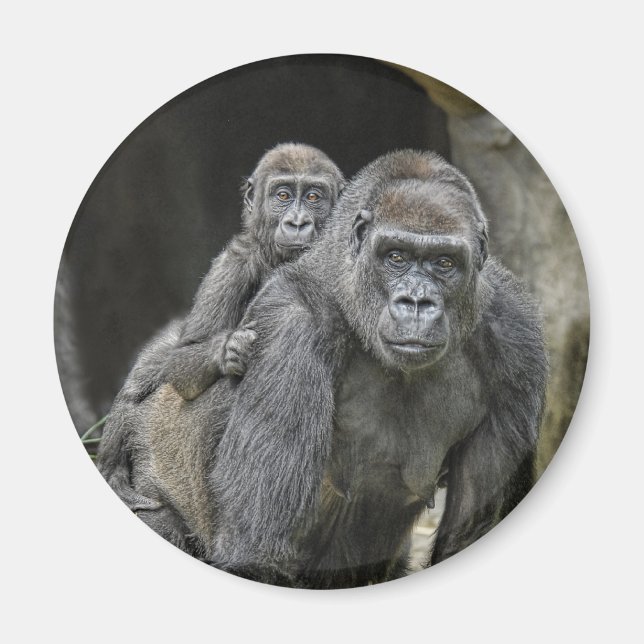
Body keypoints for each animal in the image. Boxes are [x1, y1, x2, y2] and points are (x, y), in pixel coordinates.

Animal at [96, 143, 345, 515]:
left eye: (314, 197)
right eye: (283, 195)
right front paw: (230, 350)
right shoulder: (232, 265)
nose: (298, 222)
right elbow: (181, 359)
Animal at [126, 149, 547, 588]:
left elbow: (474, 530)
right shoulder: (291, 321)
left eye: (445, 263)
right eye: (395, 256)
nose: (416, 303)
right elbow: (258, 548)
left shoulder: (517, 337)